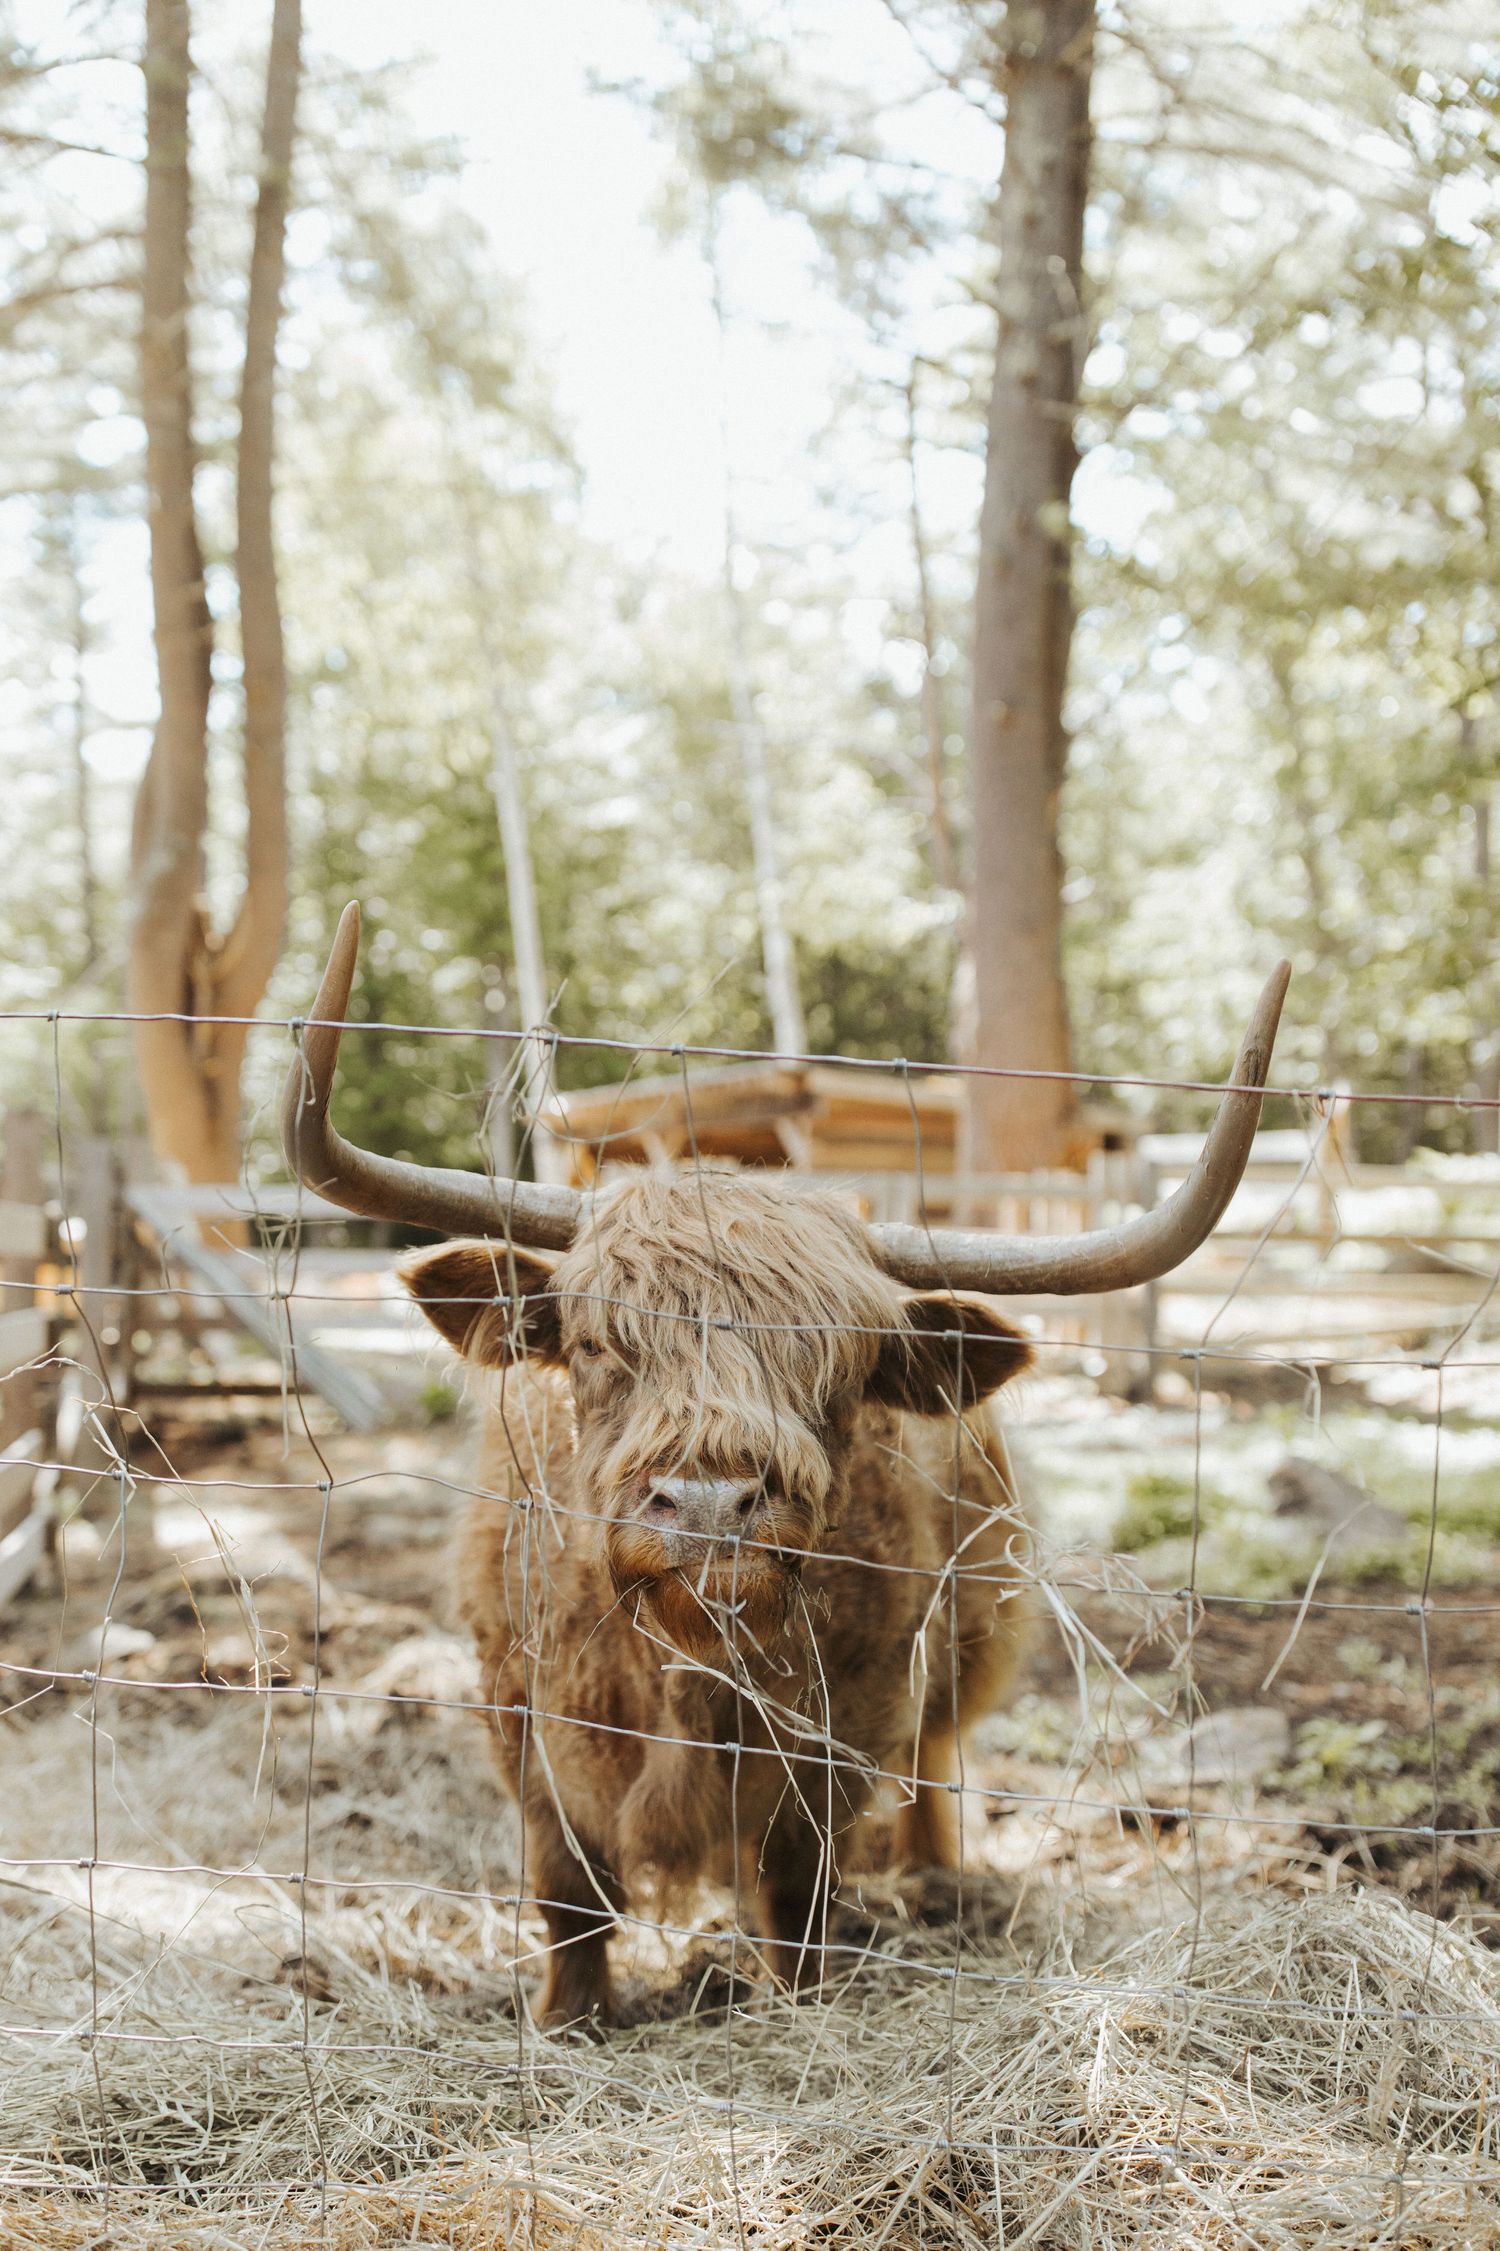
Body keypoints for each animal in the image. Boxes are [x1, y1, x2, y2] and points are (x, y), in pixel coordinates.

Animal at [284, 905, 1288, 2030]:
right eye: (593, 1344)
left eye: (841, 1362)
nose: (710, 1501)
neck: (687, 1670)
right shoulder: (521, 1708)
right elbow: (567, 1891)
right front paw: (569, 2018)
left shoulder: (849, 1717)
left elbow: (799, 1884)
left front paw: (797, 1999)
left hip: (971, 1630)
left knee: (936, 1758)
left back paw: (934, 1874)